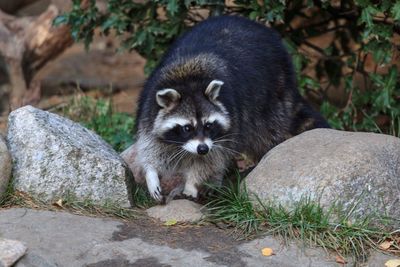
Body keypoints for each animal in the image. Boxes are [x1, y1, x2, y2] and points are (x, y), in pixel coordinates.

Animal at [134, 15, 328, 202]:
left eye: (208, 125)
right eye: (187, 128)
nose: (202, 149)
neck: (188, 79)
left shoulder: (229, 119)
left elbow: (211, 160)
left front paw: (191, 185)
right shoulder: (149, 107)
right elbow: (152, 145)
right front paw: (151, 173)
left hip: (272, 94)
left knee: (266, 133)